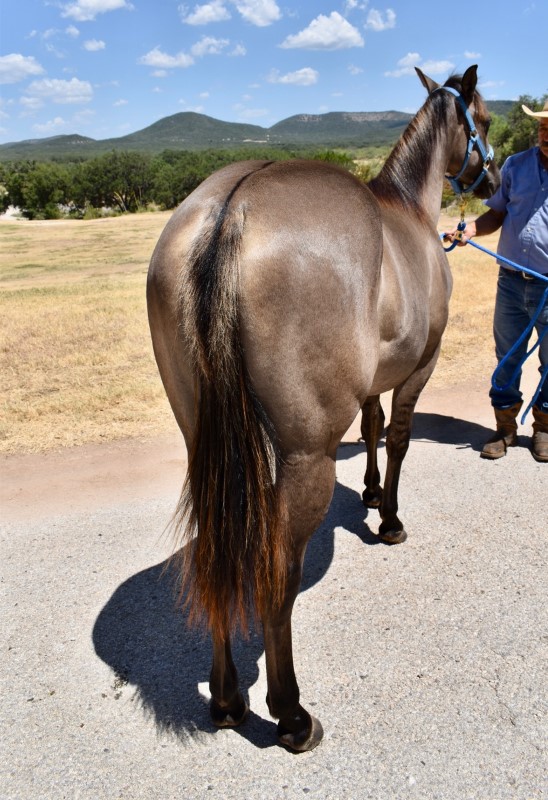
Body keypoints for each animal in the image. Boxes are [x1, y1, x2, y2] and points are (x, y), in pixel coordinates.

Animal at [146, 65, 500, 752]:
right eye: (488, 120)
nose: (495, 180)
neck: (409, 210)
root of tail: (230, 212)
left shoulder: (375, 381)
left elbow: (372, 426)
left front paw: (369, 491)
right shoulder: (420, 368)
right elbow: (398, 438)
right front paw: (388, 518)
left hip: (208, 447)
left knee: (217, 552)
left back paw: (226, 699)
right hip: (304, 455)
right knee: (277, 574)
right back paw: (290, 713)